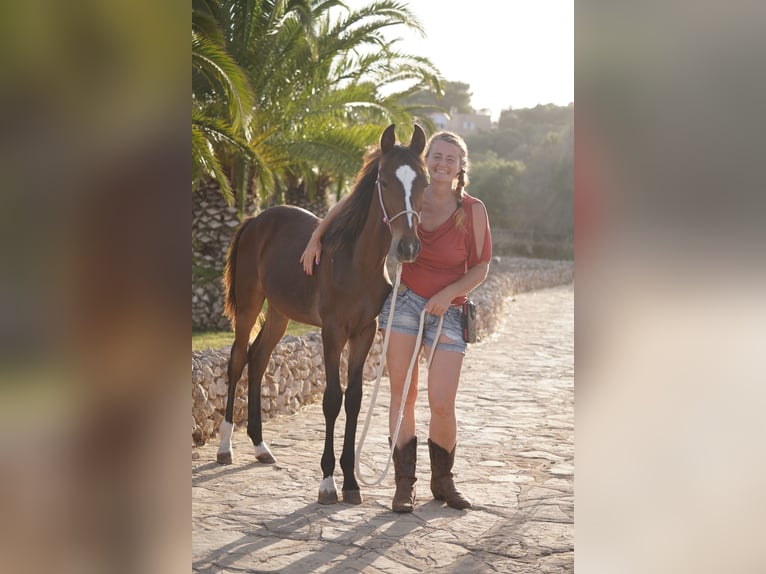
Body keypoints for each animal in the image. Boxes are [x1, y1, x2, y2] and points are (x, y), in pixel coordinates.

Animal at [219, 125, 428, 504]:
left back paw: (260, 446)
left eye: (424, 181)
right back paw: (225, 446)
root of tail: (255, 220)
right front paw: (328, 481)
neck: (355, 262)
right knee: (238, 359)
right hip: (249, 305)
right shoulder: (332, 332)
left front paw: (352, 482)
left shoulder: (364, 332)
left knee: (258, 359)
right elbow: (332, 399)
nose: (408, 247)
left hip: (279, 313)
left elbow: (354, 399)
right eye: (385, 180)